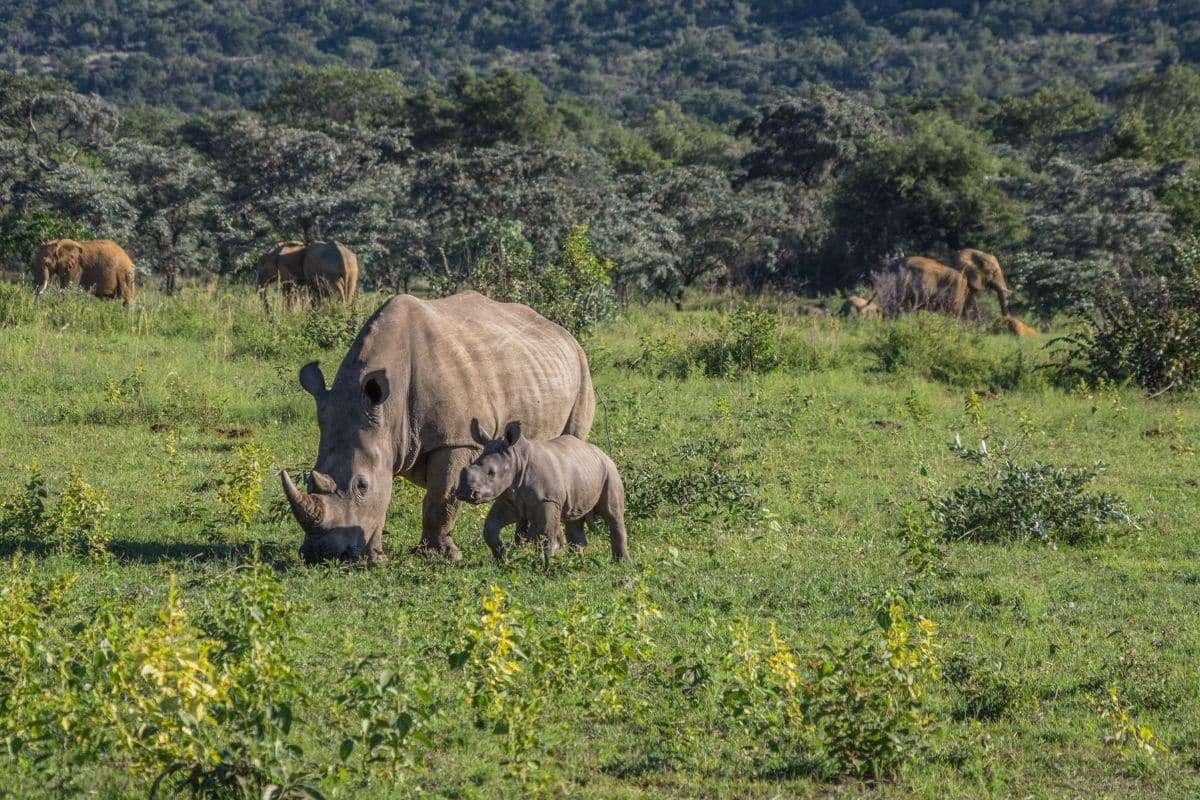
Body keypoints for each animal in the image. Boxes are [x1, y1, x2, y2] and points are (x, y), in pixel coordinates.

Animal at [281, 291, 595, 563]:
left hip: (582, 369)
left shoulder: (457, 439)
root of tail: (564, 333)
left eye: (362, 485)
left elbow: (441, 498)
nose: (322, 554)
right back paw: (524, 544)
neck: (388, 410)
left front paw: (439, 556)